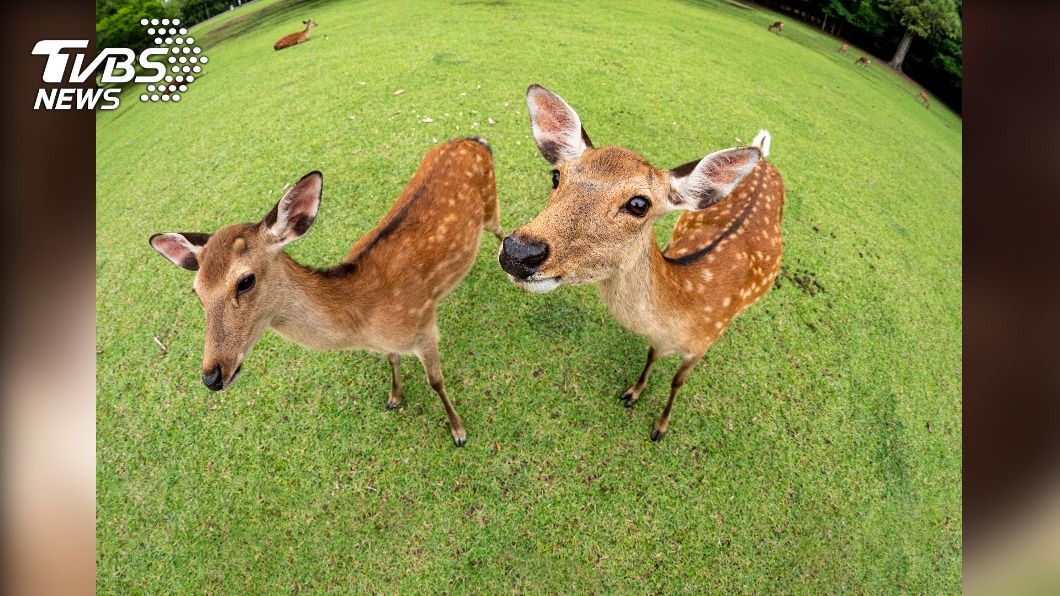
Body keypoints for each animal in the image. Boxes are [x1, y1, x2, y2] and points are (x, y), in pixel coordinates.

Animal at [149, 137, 502, 446]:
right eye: (196, 292)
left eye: (245, 281)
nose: (212, 377)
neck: (364, 320)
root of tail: (475, 140)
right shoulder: (390, 342)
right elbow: (392, 359)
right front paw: (394, 397)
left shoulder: (423, 325)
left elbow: (436, 381)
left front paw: (458, 431)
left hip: (491, 205)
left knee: (501, 233)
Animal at [499, 85, 785, 441]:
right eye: (556, 176)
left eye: (639, 204)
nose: (518, 252)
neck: (685, 309)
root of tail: (764, 158)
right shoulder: (658, 341)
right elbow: (650, 355)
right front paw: (632, 393)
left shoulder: (704, 343)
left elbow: (678, 381)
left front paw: (660, 427)